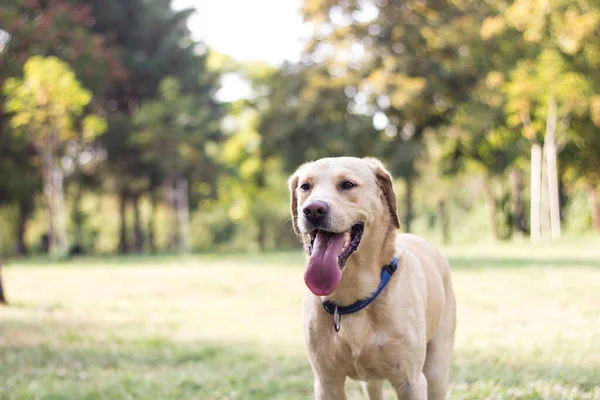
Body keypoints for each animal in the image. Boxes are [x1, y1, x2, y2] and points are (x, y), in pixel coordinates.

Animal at [288, 158, 458, 398]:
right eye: (305, 186)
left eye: (347, 184)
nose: (312, 210)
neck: (351, 298)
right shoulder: (326, 382)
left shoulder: (411, 382)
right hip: (372, 380)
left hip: (437, 368)